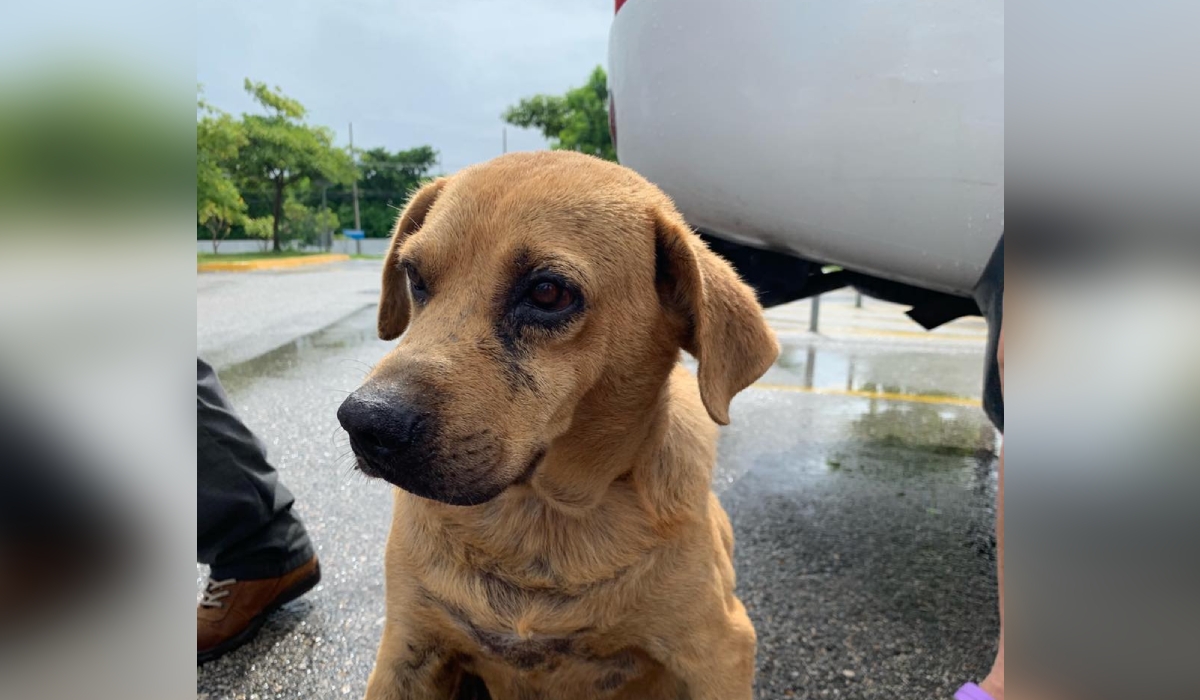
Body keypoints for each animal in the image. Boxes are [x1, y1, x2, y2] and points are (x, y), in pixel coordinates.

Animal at [338, 150, 777, 696]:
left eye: (548, 292)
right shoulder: (407, 645)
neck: (538, 520)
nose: (364, 422)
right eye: (414, 275)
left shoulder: (719, 650)